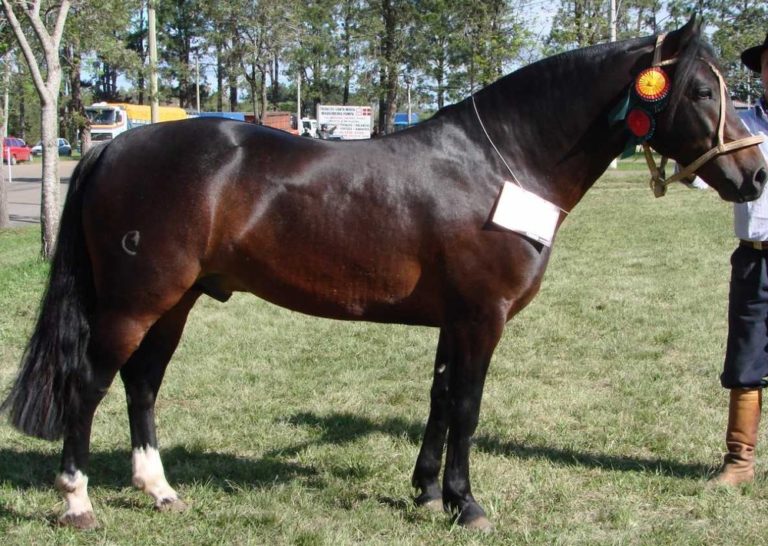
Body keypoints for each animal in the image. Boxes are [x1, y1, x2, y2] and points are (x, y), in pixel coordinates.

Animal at [2, 16, 766, 531]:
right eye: (702, 90)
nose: (755, 175)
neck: (502, 165)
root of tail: (113, 148)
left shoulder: (454, 319)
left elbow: (439, 400)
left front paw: (428, 491)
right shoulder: (482, 317)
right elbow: (467, 406)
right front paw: (467, 504)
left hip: (176, 301)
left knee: (142, 384)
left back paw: (157, 489)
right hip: (136, 301)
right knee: (90, 384)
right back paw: (77, 501)